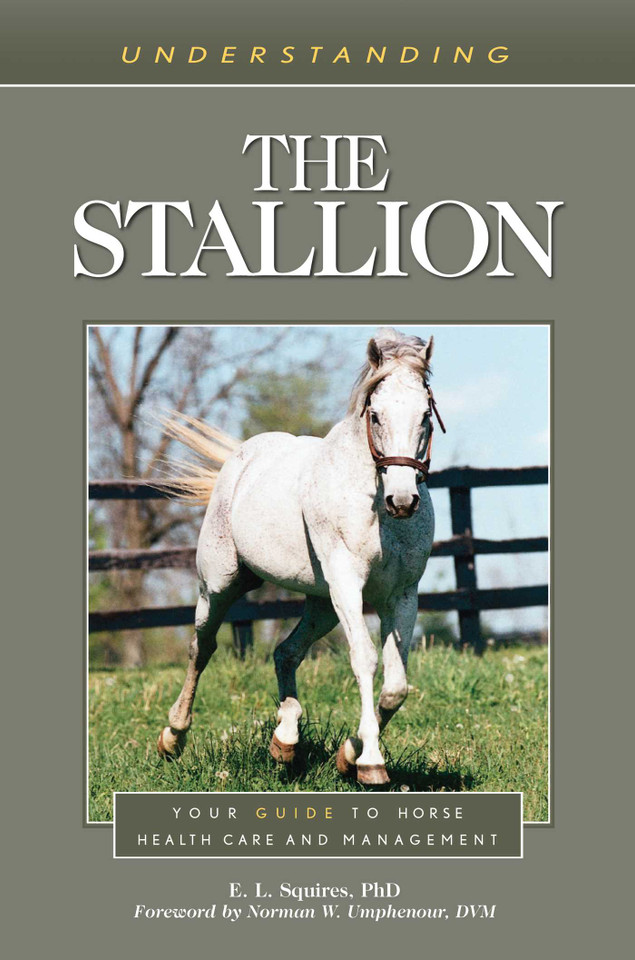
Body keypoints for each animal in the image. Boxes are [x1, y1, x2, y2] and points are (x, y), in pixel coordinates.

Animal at [157, 328, 445, 785]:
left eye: (425, 416)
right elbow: (364, 660)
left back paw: (286, 741)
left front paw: (349, 754)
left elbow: (396, 684)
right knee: (201, 648)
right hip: (219, 586)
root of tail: (242, 457)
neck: (376, 509)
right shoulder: (348, 585)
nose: (403, 501)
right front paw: (370, 763)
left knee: (285, 652)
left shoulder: (402, 595)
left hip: (322, 605)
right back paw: (173, 737)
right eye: (376, 415)